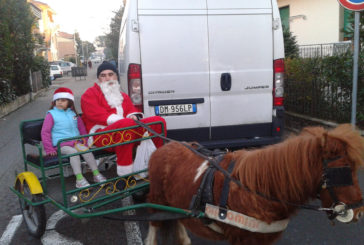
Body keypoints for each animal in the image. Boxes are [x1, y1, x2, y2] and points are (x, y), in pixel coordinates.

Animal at [144, 125, 364, 244]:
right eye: (342, 170)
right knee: (154, 225)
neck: (258, 188)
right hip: (157, 199)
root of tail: (163, 148)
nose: (359, 212)